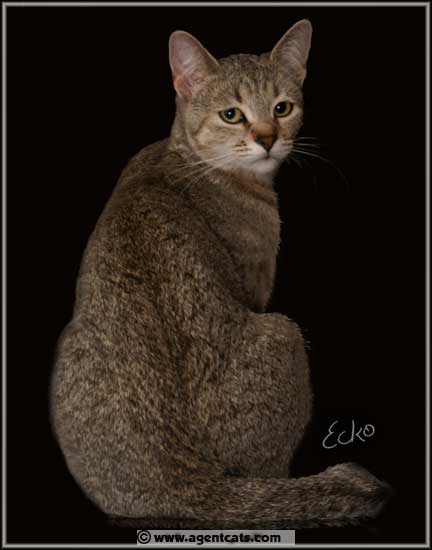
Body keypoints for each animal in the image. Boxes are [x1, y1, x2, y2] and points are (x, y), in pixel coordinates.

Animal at [50, 20, 392, 528]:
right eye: (232, 114)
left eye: (282, 107)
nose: (267, 137)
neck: (182, 158)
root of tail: (185, 481)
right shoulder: (257, 284)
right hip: (285, 334)